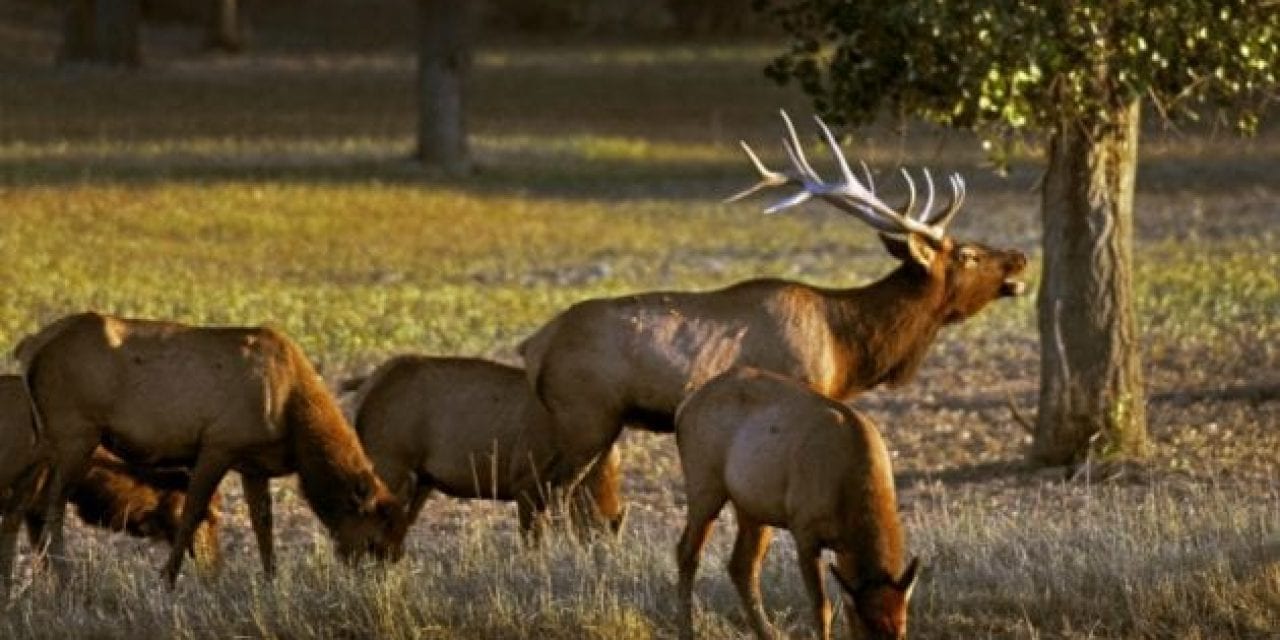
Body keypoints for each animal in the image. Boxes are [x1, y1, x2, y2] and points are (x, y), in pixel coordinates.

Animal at [519, 111, 1029, 509]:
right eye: (968, 255)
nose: (1021, 257)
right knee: (549, 493)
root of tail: (534, 344)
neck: (847, 348)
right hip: (587, 415)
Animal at [675, 366, 916, 640]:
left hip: (753, 509)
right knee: (687, 553)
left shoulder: (843, 547)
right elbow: (822, 607)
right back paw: (687, 630)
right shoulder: (805, 532)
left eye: (901, 631)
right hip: (704, 487)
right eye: (869, 631)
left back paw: (767, 633)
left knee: (742, 566)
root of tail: (684, 407)